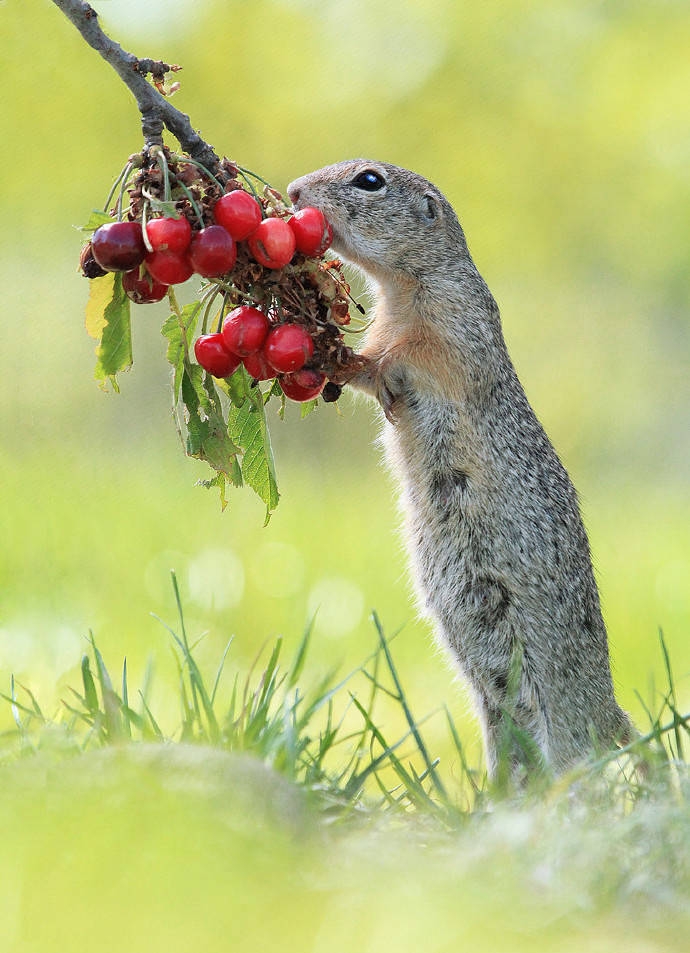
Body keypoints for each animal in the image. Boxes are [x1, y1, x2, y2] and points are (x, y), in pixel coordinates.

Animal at [286, 158, 636, 780]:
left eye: (369, 180)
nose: (293, 191)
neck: (402, 286)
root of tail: (608, 710)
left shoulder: (455, 325)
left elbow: (417, 355)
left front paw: (364, 359)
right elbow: (369, 371)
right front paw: (331, 356)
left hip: (552, 708)